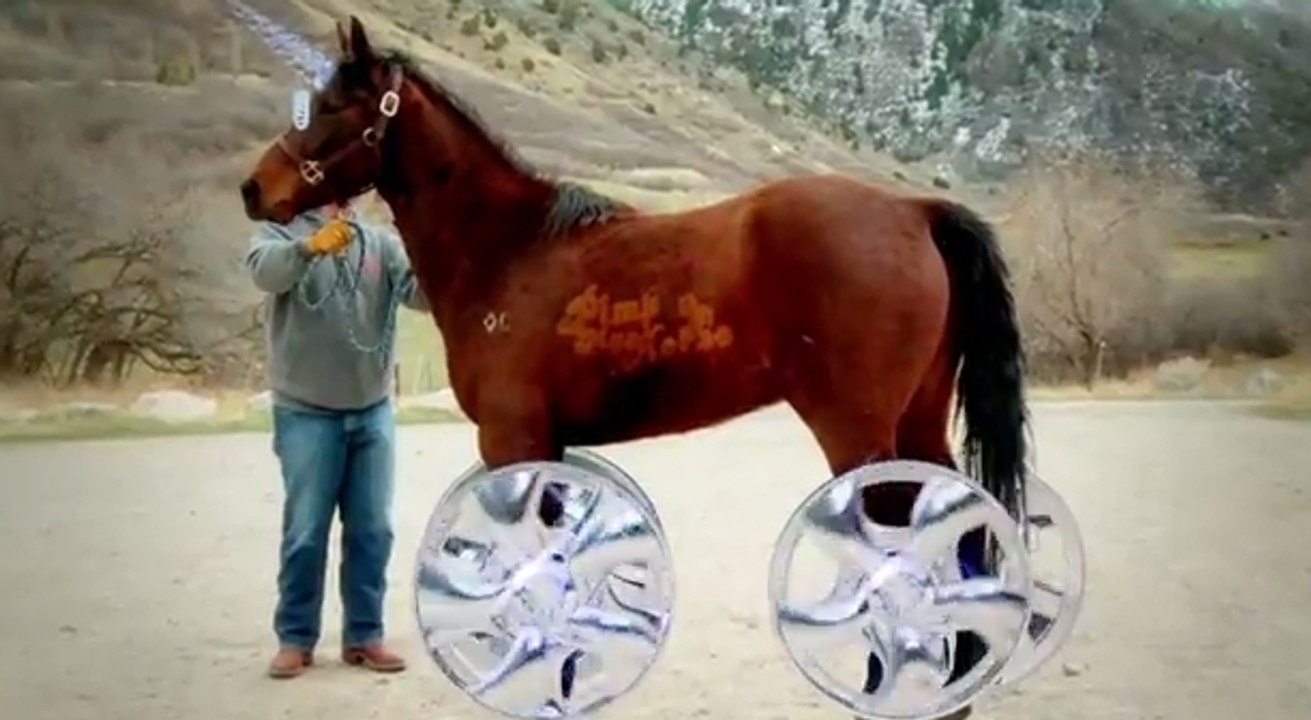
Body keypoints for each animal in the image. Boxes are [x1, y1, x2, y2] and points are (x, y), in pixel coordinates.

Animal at [239, 17, 1030, 717]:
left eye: (333, 107)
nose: (255, 189)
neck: (510, 251)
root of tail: (913, 209)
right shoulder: (549, 449)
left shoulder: (512, 441)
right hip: (919, 420)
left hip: (859, 435)